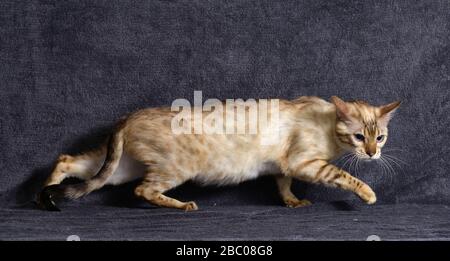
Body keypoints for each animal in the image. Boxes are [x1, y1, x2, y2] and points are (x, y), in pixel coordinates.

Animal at [37, 96, 400, 210]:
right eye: (359, 137)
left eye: (380, 138)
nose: (372, 154)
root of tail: (127, 118)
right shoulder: (305, 163)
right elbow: (344, 176)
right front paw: (369, 194)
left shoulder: (284, 166)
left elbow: (283, 186)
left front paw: (293, 202)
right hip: (174, 169)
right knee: (144, 191)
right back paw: (182, 205)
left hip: (118, 168)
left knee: (67, 161)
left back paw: (44, 195)